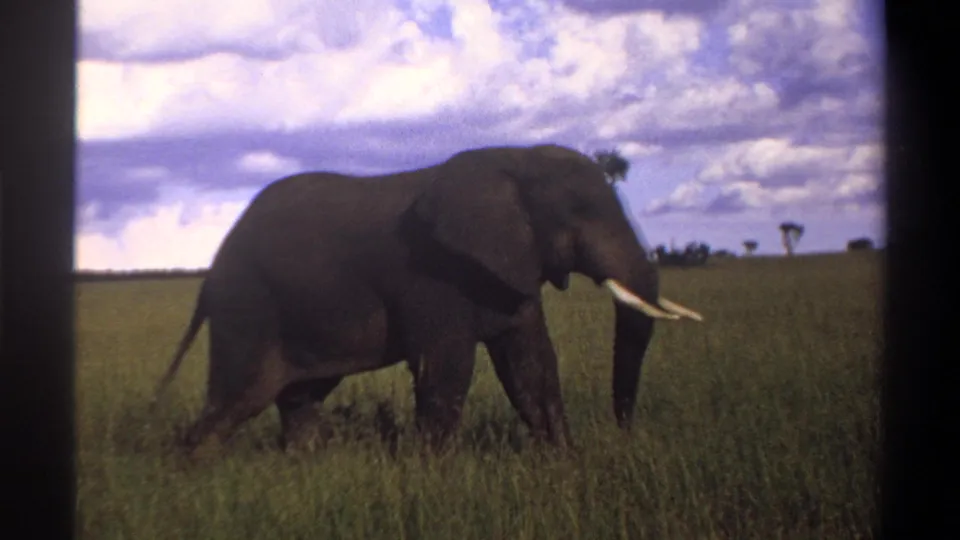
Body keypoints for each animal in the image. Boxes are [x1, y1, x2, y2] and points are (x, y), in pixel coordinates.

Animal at [152, 143, 703, 458]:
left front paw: (564, 461)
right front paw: (435, 473)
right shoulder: (432, 273)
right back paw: (195, 467)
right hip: (248, 307)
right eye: (582, 212)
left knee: (299, 395)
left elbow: (532, 364)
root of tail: (210, 272)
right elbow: (447, 367)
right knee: (238, 398)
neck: (511, 160)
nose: (625, 435)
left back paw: (304, 463)